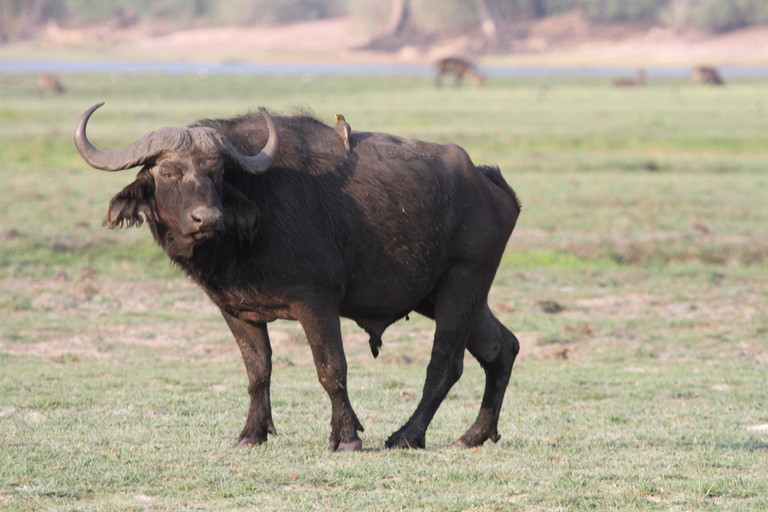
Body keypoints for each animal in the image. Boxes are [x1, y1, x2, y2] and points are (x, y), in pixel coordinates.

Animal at [75, 103, 520, 452]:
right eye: (168, 172)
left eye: (218, 174)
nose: (208, 218)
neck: (245, 232)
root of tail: (490, 183)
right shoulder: (235, 310)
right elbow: (258, 371)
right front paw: (252, 434)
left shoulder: (316, 301)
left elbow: (331, 368)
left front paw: (346, 437)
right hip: (443, 295)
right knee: (502, 348)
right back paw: (476, 434)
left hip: (464, 281)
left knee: (446, 362)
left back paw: (408, 434)